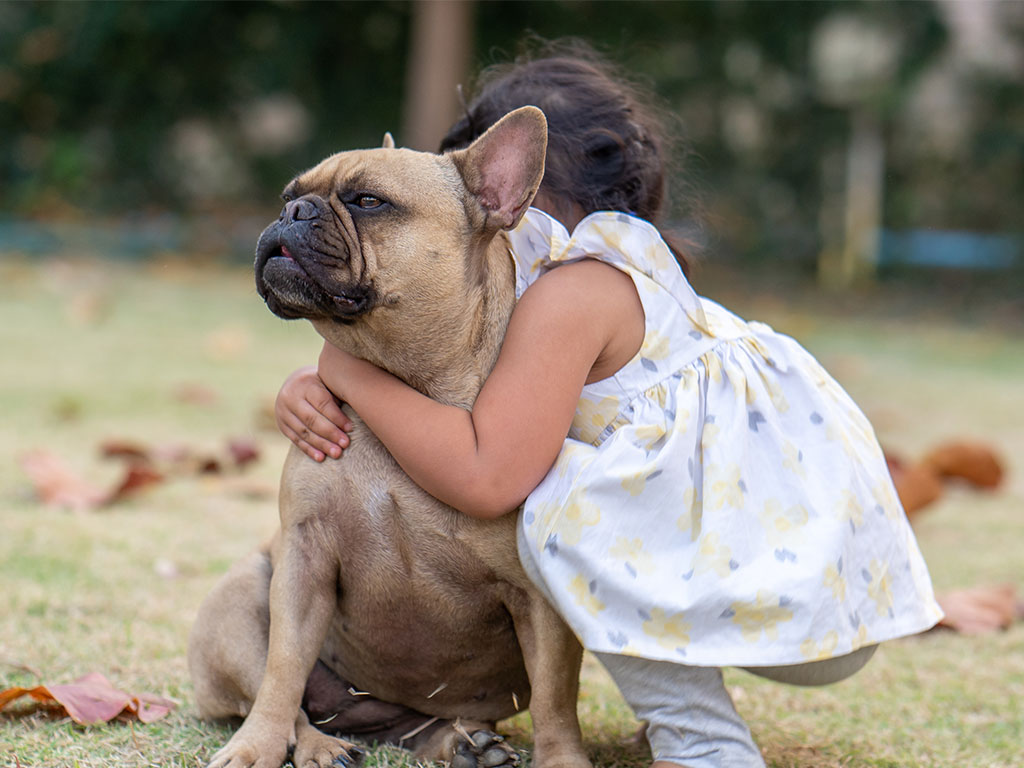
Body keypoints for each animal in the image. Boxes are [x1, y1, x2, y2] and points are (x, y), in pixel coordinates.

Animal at [188, 109, 593, 768]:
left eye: (368, 201)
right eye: (289, 193)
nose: (293, 210)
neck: (408, 387)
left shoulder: (541, 599)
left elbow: (557, 698)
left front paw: (562, 760)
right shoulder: (302, 561)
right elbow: (283, 667)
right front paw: (256, 747)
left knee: (412, 724)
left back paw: (463, 742)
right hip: (242, 596)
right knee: (291, 698)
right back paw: (321, 746)